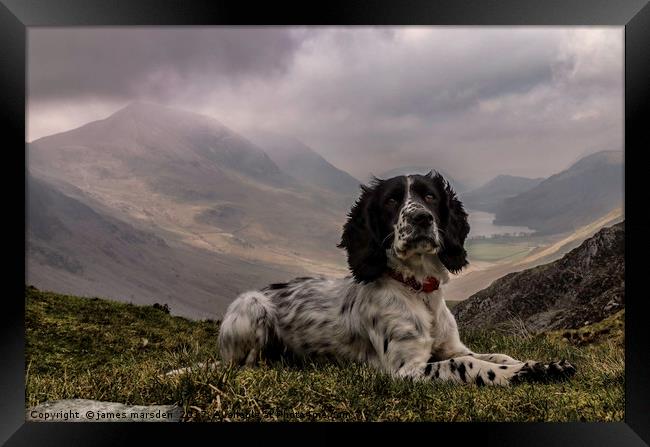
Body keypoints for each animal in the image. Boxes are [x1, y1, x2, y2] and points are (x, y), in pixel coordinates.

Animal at [216, 173, 572, 386]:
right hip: (251, 305)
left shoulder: (451, 347)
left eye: (430, 197)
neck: (418, 289)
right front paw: (519, 372)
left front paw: (541, 364)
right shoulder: (404, 369)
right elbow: (469, 365)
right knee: (247, 363)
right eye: (390, 200)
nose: (421, 218)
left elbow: (493, 355)